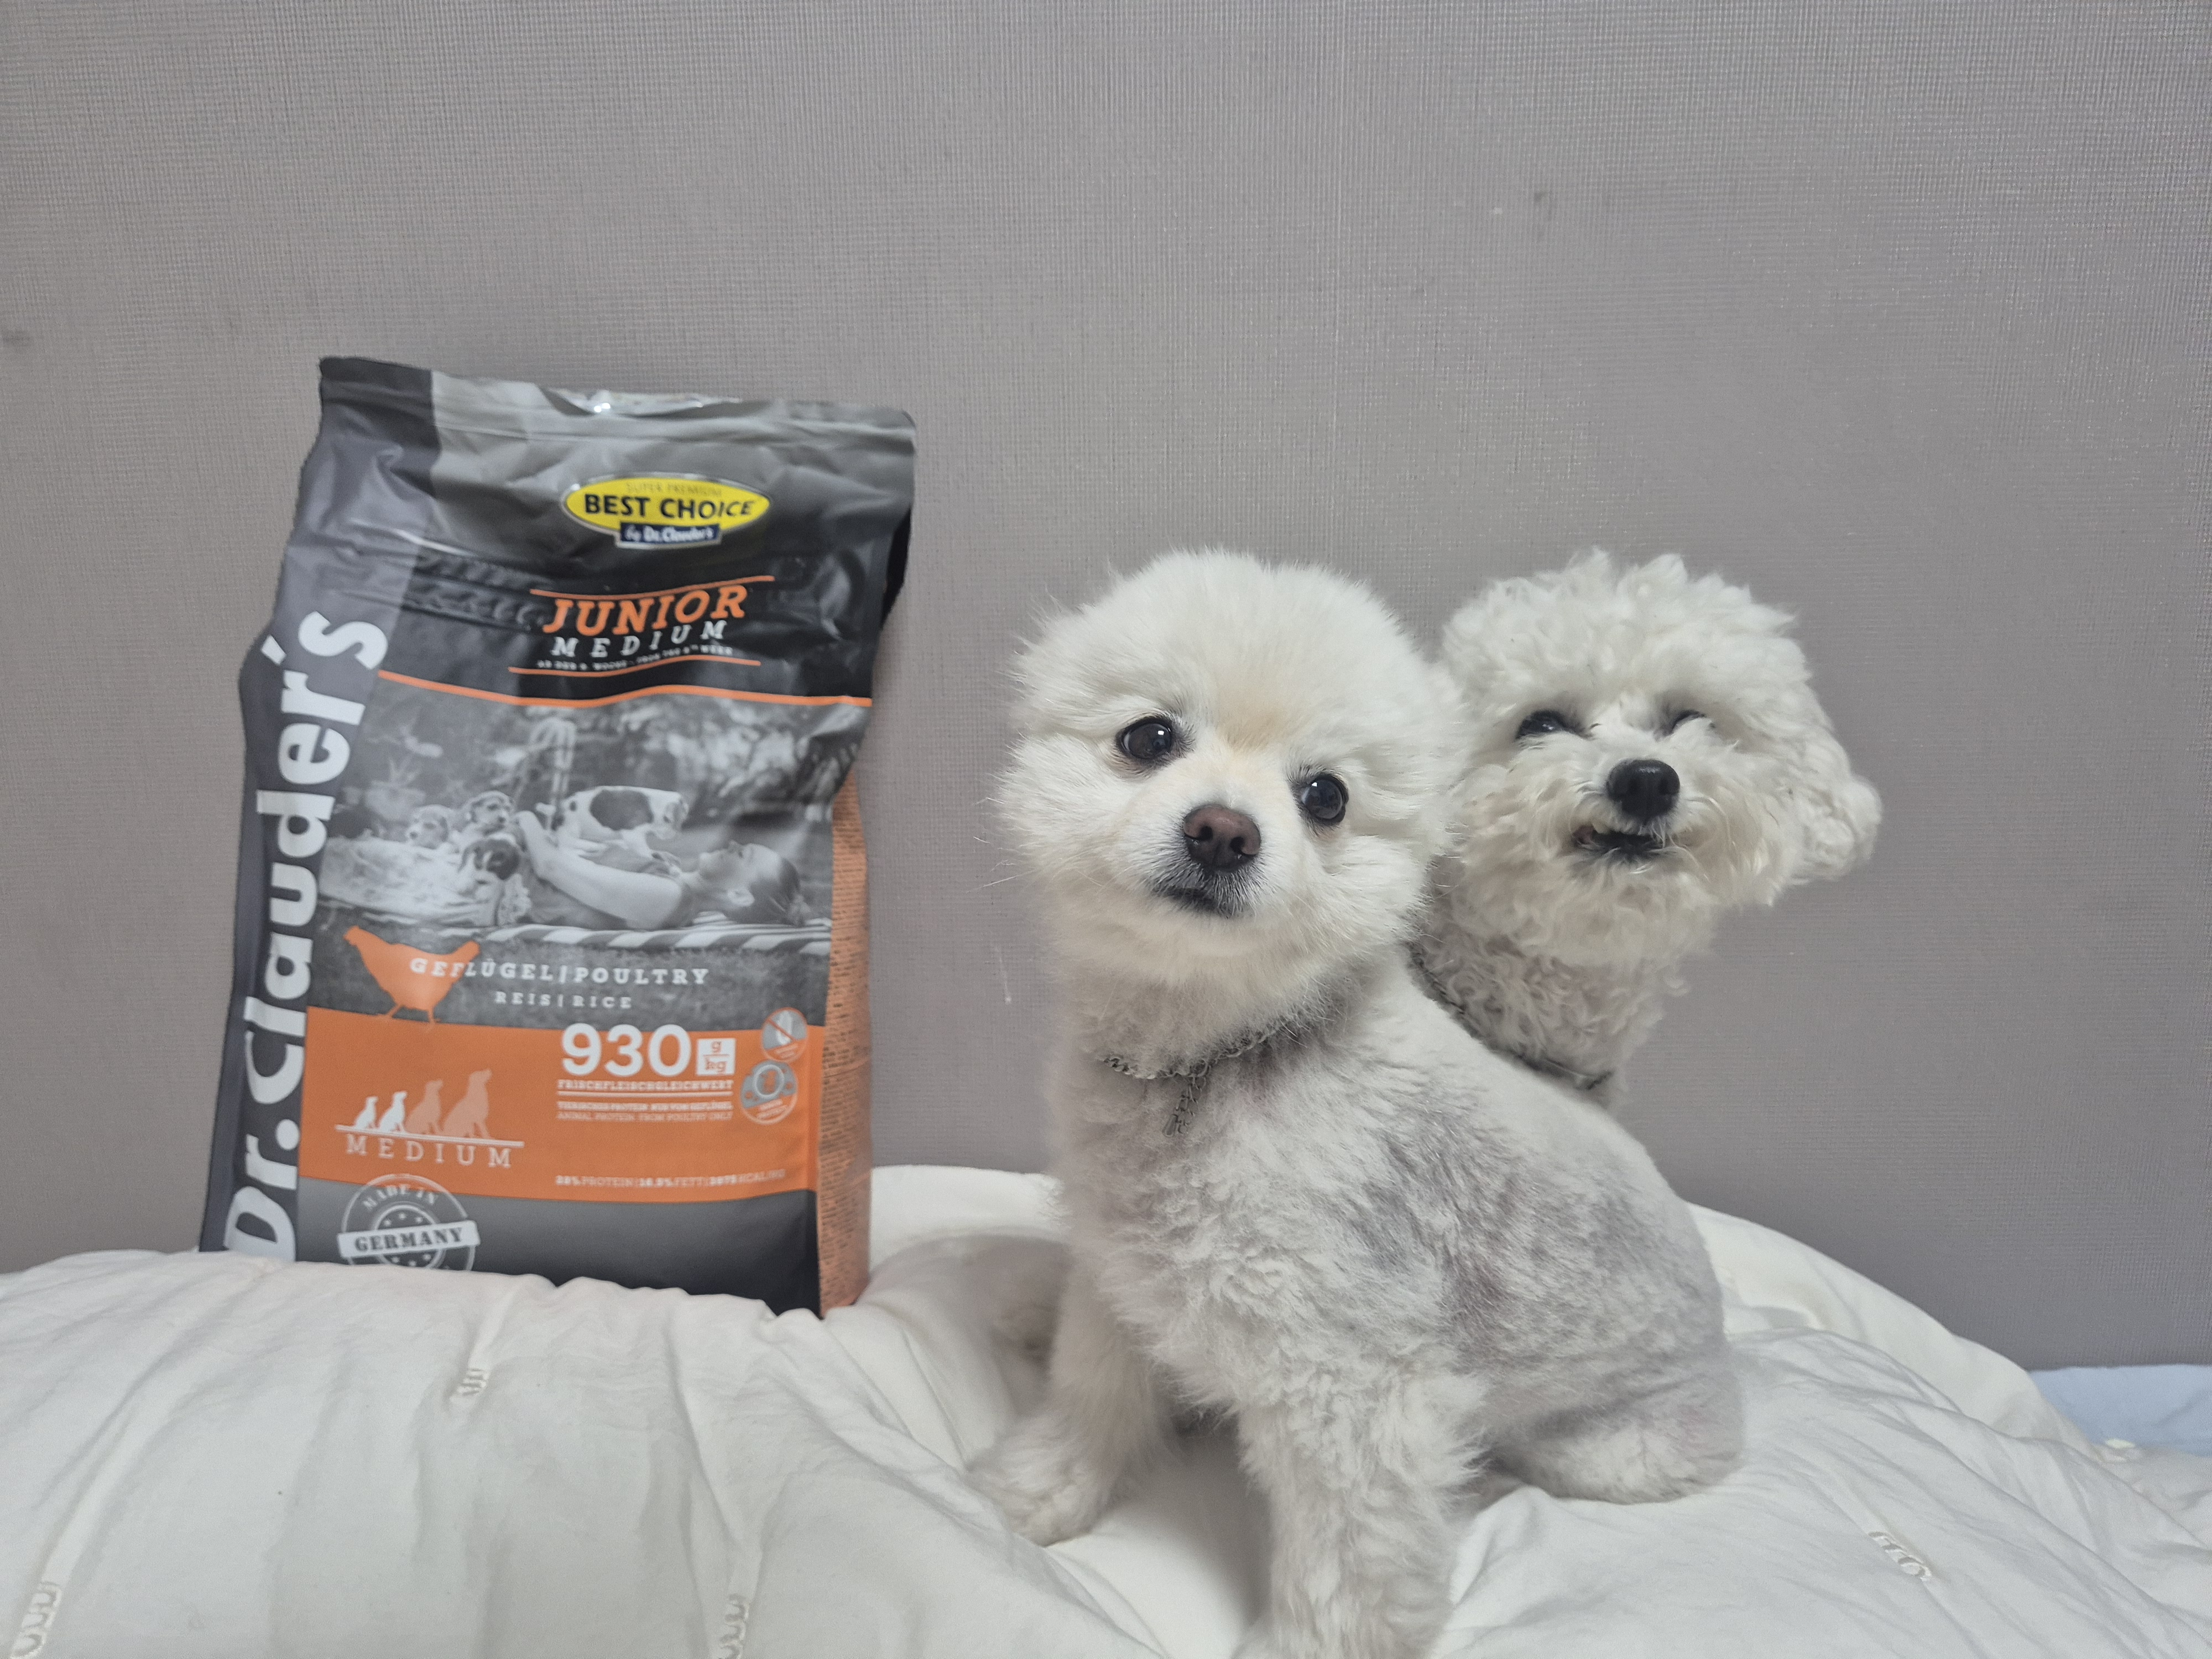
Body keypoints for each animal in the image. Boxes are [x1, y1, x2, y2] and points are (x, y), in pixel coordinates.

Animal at [970, 551, 1739, 1659]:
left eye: (1325, 797)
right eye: (1148, 738)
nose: (1222, 832)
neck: (1215, 1059)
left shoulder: (1359, 1392)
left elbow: (1347, 1572)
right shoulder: (1127, 1281)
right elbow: (1094, 1397)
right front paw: (1035, 1494)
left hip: (1610, 1450)